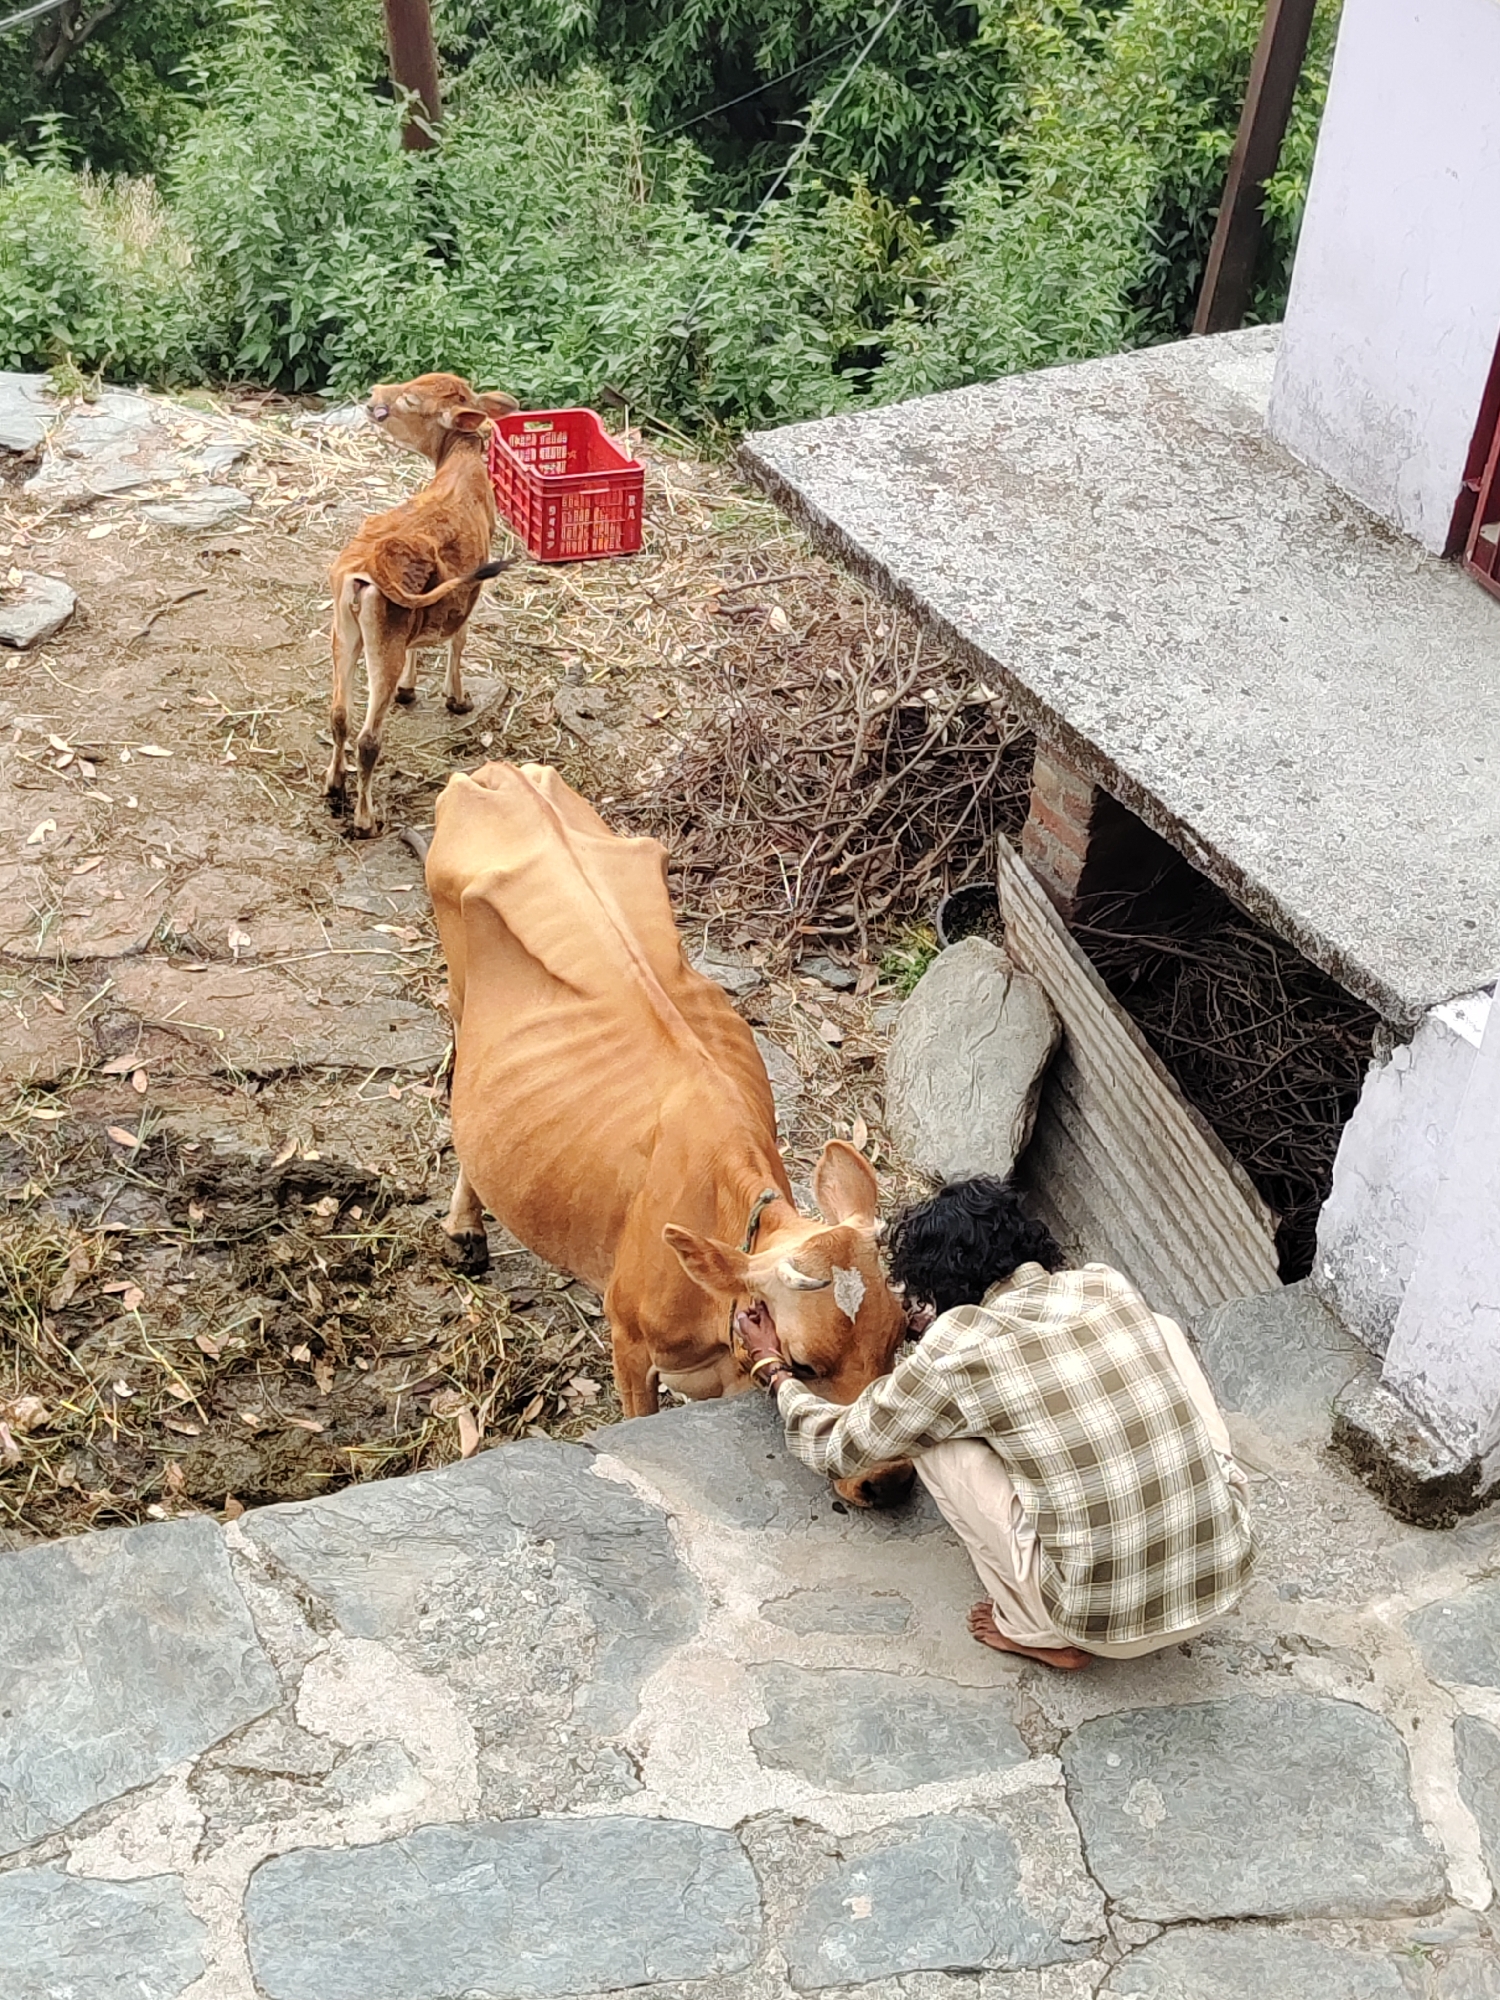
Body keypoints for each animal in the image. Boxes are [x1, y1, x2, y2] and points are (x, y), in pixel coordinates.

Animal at [325, 372, 519, 837]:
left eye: (411, 398)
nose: (374, 394)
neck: (460, 469)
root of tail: (367, 566)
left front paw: (411, 690)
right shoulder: (469, 590)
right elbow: (459, 640)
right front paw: (457, 698)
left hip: (344, 631)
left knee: (339, 713)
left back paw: (334, 787)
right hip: (384, 641)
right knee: (368, 738)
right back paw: (365, 819)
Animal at [424, 760, 914, 1507]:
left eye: (897, 1340)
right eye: (806, 1363)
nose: (888, 1482)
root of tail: (504, 773)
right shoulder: (628, 1340)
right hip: (458, 998)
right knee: (457, 1082)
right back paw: (465, 1228)